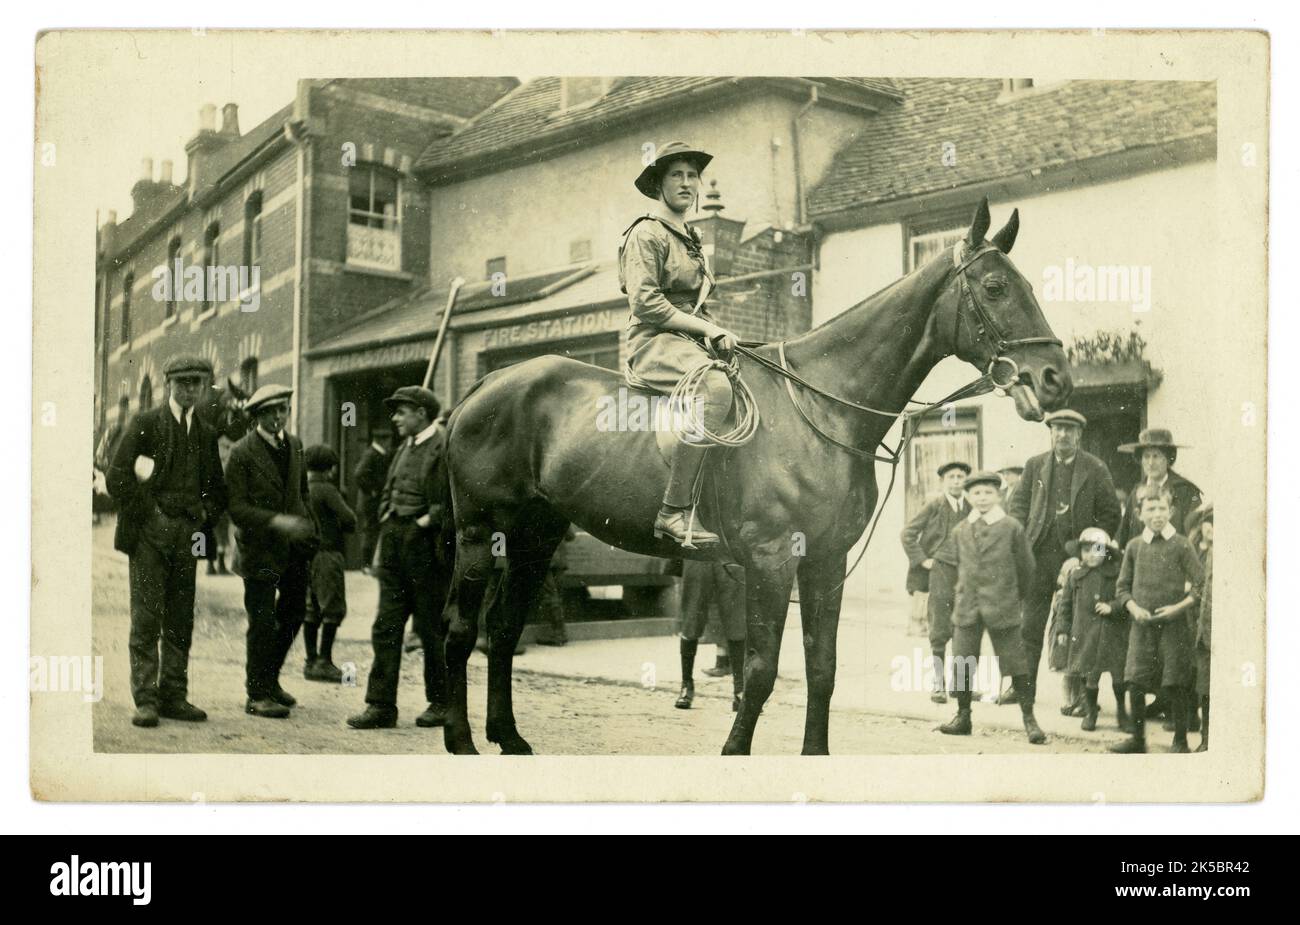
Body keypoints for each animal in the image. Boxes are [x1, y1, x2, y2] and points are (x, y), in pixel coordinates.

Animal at [441, 198, 1071, 753]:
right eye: (995, 288)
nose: (1055, 379)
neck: (821, 404)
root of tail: (487, 384)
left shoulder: (824, 560)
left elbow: (822, 669)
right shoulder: (771, 559)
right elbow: (762, 671)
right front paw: (734, 751)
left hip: (535, 535)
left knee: (502, 630)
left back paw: (508, 737)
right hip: (479, 533)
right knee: (459, 629)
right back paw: (461, 739)